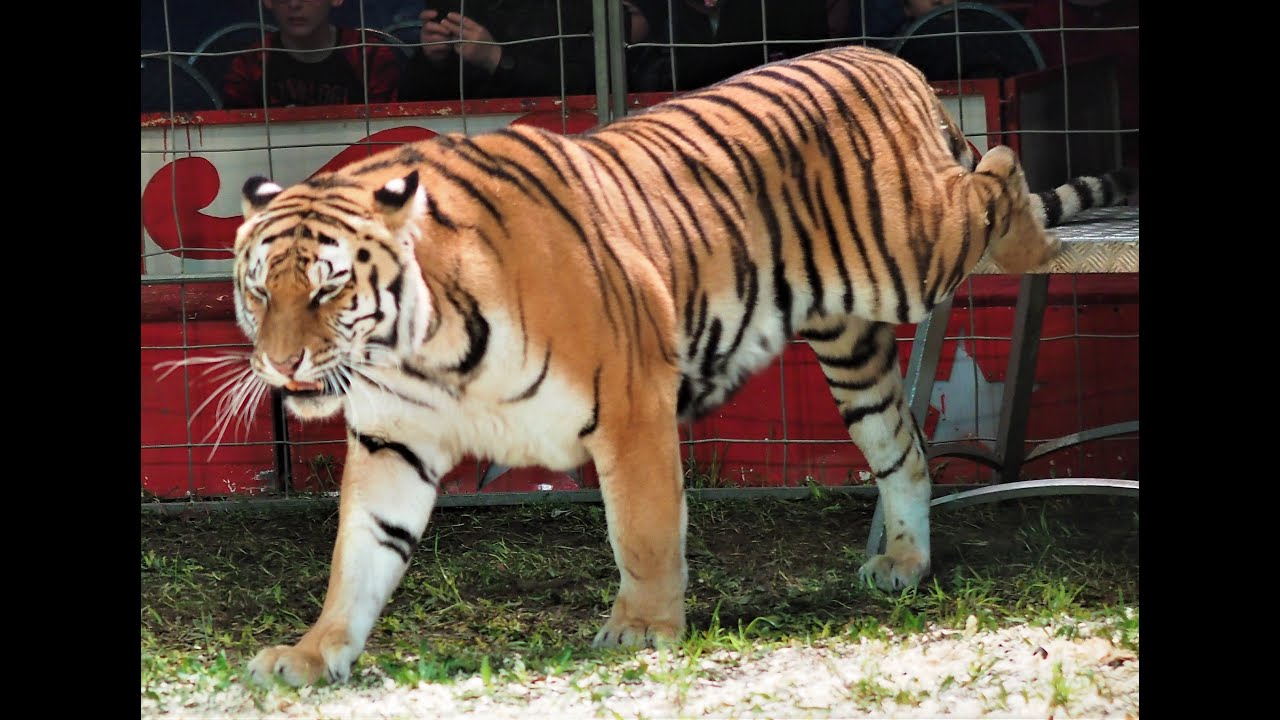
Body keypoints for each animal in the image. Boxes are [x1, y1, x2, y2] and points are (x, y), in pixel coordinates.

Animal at [227, 43, 1137, 686]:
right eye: (257, 289)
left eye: (329, 287)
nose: (280, 364)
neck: (421, 352)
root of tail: (898, 62)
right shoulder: (394, 442)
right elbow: (359, 557)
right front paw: (312, 654)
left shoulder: (630, 404)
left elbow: (644, 530)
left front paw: (642, 630)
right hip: (853, 346)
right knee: (905, 452)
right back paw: (907, 563)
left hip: (912, 253)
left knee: (997, 177)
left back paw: (1031, 235)